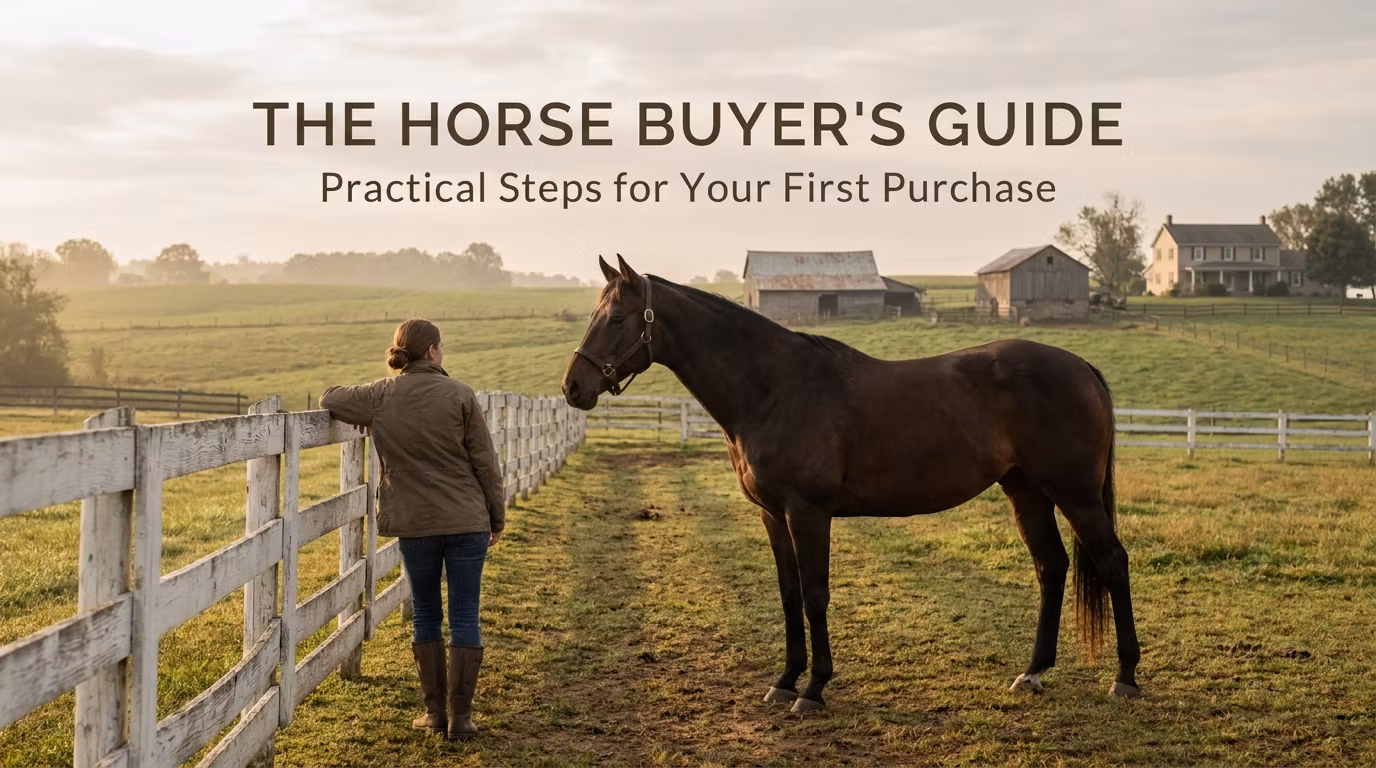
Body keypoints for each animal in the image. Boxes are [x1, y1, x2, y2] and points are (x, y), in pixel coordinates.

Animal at [560, 255, 1141, 714]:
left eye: (616, 317)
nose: (573, 387)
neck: (773, 387)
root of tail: (1081, 367)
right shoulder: (772, 515)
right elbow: (789, 594)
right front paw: (783, 682)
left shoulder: (808, 512)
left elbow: (816, 594)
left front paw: (813, 690)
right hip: (1026, 491)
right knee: (1051, 567)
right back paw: (1033, 672)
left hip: (1076, 496)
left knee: (1112, 562)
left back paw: (1125, 678)